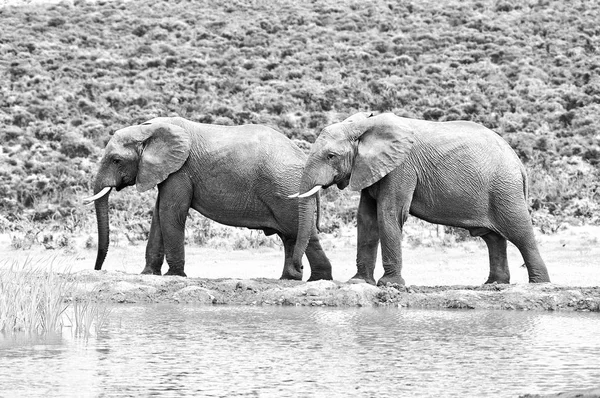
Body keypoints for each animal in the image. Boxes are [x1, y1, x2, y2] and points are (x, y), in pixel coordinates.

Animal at [83, 116, 332, 282]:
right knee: (290, 236)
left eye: (116, 160)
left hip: (284, 188)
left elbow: (170, 213)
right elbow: (158, 215)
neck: (149, 129)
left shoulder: (181, 170)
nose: (97, 269)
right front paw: (148, 274)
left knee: (302, 232)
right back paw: (290, 278)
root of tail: (303, 158)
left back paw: (318, 279)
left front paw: (174, 276)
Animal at [288, 112, 552, 286]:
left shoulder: (401, 167)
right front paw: (359, 282)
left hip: (505, 188)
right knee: (493, 238)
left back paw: (539, 284)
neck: (365, 125)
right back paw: (493, 285)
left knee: (520, 232)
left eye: (331, 156)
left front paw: (390, 285)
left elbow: (389, 213)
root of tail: (519, 163)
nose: (298, 268)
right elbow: (366, 218)